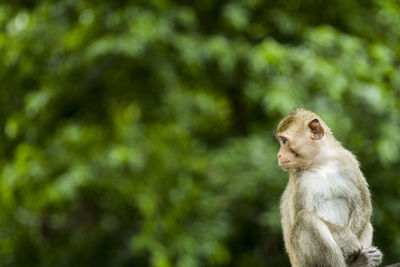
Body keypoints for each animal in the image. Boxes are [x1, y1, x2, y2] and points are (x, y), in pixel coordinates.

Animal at [276, 109, 382, 267]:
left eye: (283, 141)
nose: (279, 155)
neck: (321, 163)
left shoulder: (348, 162)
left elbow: (362, 207)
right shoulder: (299, 179)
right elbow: (300, 214)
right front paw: (346, 238)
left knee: (367, 224)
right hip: (302, 261)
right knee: (305, 220)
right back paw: (359, 262)